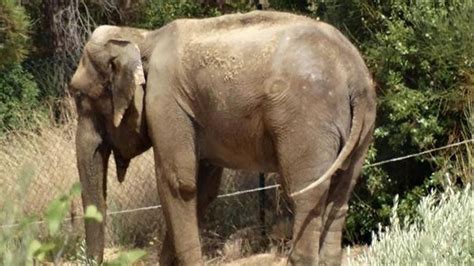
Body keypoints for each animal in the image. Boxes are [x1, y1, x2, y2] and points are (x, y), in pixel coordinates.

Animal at [68, 10, 376, 266]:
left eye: (78, 95)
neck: (142, 37)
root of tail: (354, 76)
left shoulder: (165, 103)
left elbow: (178, 184)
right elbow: (204, 189)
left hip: (306, 121)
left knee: (307, 193)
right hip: (362, 128)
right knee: (341, 193)